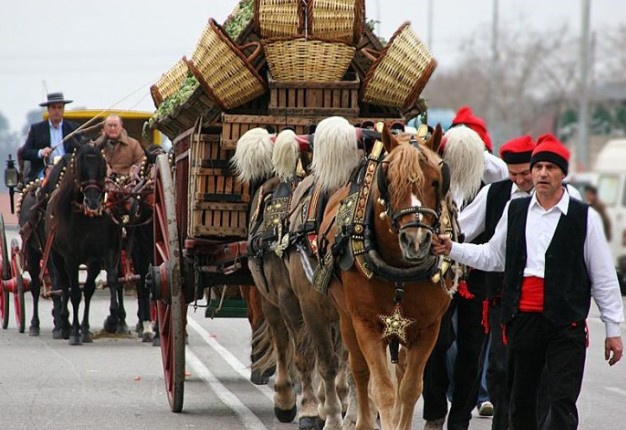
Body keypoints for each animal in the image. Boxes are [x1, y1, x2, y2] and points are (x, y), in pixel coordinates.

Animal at [44, 143, 122, 344]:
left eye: (102, 164)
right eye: (79, 165)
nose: (93, 201)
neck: (85, 218)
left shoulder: (97, 257)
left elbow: (88, 290)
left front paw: (86, 330)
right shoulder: (70, 259)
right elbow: (74, 293)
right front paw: (74, 332)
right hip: (56, 257)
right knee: (64, 285)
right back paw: (64, 325)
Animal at [316, 122, 458, 430]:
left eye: (436, 181)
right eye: (389, 180)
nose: (415, 241)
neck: (400, 271)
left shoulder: (428, 328)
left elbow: (410, 388)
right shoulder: (367, 323)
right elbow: (382, 388)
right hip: (347, 318)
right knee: (359, 372)